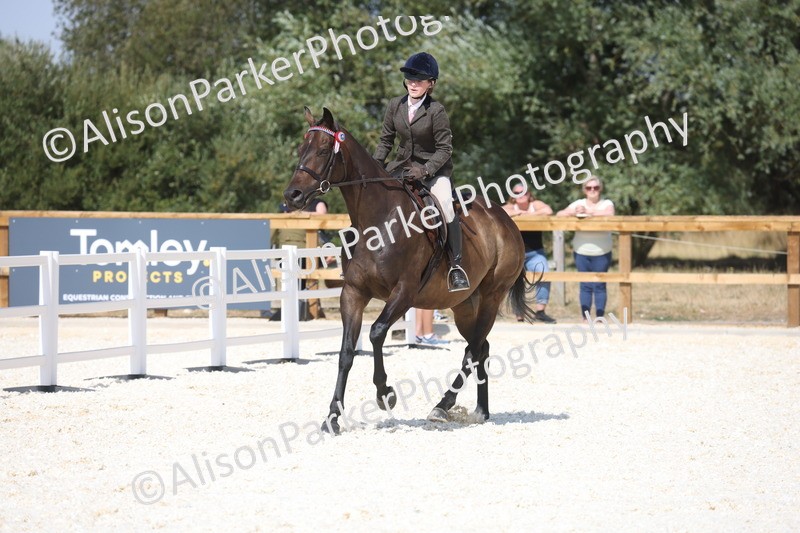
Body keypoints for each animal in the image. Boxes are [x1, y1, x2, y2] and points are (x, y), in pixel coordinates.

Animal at [284, 107, 536, 434]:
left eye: (324, 151)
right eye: (301, 149)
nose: (292, 195)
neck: (376, 221)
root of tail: (507, 221)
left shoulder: (404, 292)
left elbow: (377, 333)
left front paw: (385, 394)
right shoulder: (353, 293)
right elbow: (346, 352)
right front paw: (332, 418)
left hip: (492, 296)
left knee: (472, 350)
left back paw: (442, 406)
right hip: (465, 305)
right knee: (482, 347)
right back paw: (481, 411)